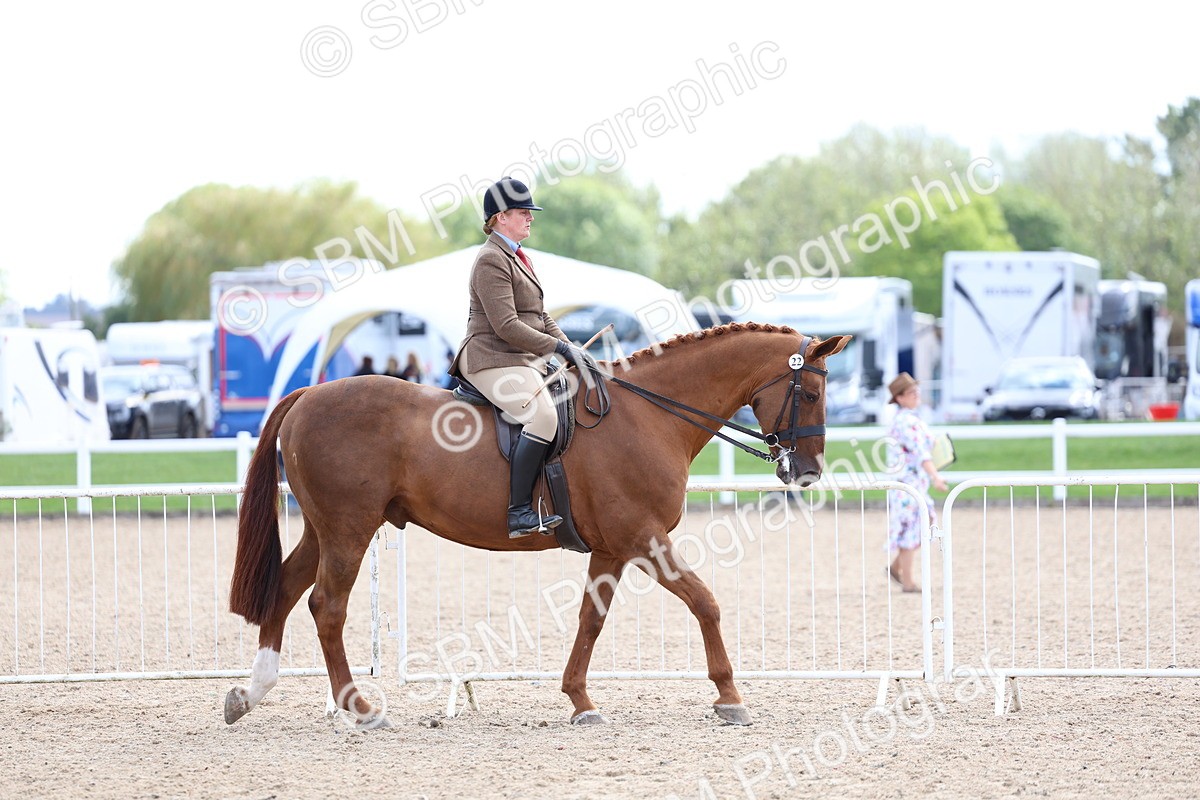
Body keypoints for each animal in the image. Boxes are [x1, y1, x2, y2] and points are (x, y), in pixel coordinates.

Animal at [224, 322, 850, 728]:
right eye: (813, 392)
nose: (809, 473)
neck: (650, 415)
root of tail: (310, 393)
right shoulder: (644, 538)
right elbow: (705, 602)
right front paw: (729, 697)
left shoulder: (613, 548)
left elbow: (591, 620)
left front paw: (580, 701)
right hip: (349, 530)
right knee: (326, 606)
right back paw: (358, 708)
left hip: (325, 530)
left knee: (286, 589)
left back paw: (250, 694)